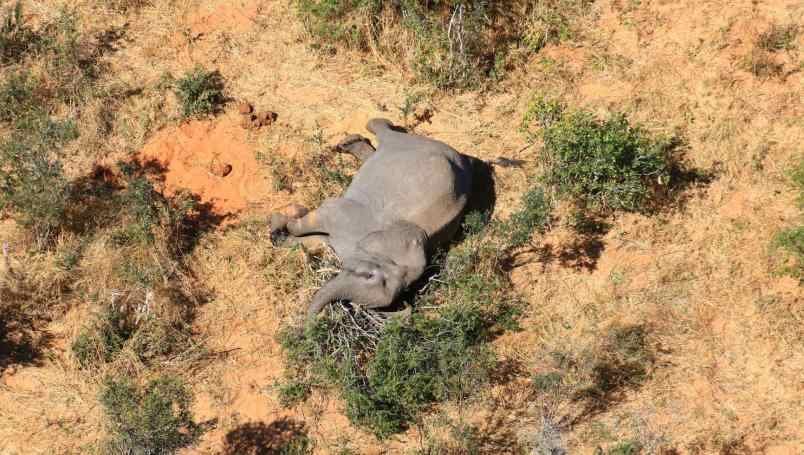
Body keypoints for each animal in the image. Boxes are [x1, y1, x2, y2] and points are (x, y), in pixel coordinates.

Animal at [266, 120, 474, 320]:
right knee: (384, 132)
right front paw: (279, 222)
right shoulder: (349, 216)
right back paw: (351, 141)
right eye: (368, 275)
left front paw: (279, 233)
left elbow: (318, 239)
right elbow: (318, 217)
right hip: (409, 144)